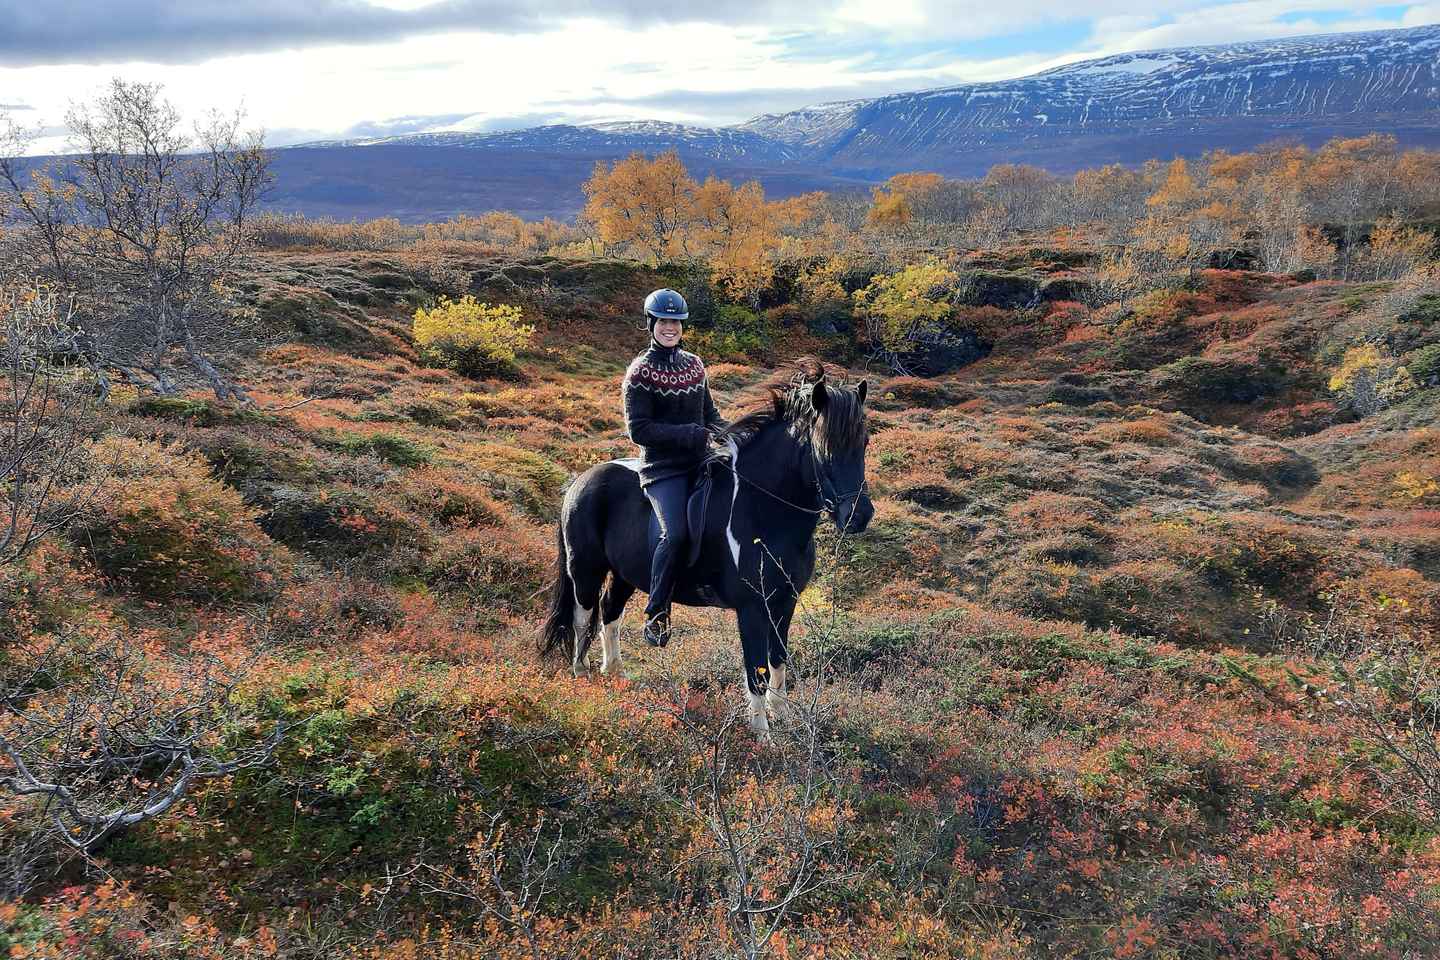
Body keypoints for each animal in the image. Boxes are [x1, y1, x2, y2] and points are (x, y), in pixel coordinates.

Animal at [539, 358, 873, 732]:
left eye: (864, 443)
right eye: (824, 448)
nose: (859, 516)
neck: (764, 512)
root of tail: (580, 480)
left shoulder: (784, 602)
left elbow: (778, 660)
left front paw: (784, 718)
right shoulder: (752, 608)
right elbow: (756, 672)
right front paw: (762, 736)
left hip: (626, 573)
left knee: (609, 612)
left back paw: (617, 676)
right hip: (585, 569)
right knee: (582, 617)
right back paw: (582, 676)